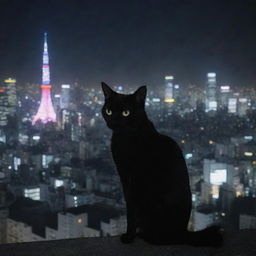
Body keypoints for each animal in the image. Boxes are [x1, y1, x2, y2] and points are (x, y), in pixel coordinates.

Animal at [101, 82, 223, 246]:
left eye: (126, 113)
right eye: (108, 111)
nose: (113, 122)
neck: (124, 136)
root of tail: (183, 232)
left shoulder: (133, 179)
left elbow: (131, 210)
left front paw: (129, 236)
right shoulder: (124, 176)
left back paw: (145, 235)